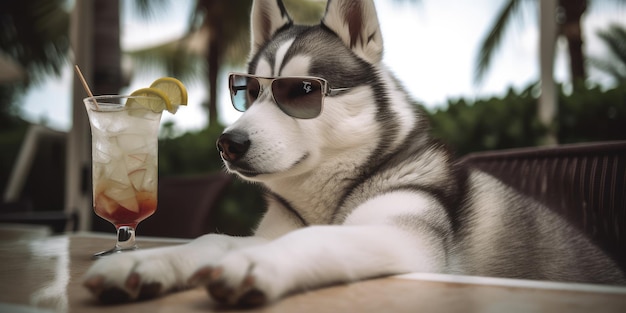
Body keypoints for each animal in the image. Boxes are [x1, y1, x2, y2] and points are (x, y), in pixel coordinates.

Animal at [84, 0, 624, 304]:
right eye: (246, 92)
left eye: (301, 91)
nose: (228, 143)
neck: (333, 195)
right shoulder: (269, 230)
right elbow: (211, 240)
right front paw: (144, 264)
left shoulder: (404, 240)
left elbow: (317, 239)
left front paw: (258, 267)